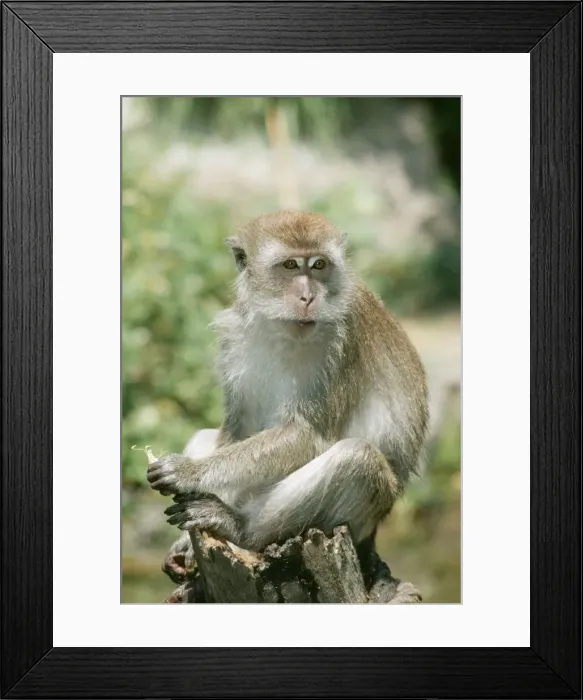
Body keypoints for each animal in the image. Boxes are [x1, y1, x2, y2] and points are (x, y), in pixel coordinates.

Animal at [148, 211, 429, 567]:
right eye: (291, 266)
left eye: (319, 265)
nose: (308, 297)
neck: (281, 329)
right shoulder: (234, 338)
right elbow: (239, 427)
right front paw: (187, 536)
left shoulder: (340, 343)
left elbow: (308, 434)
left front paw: (190, 472)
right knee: (205, 436)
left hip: (363, 519)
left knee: (358, 459)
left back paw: (239, 527)